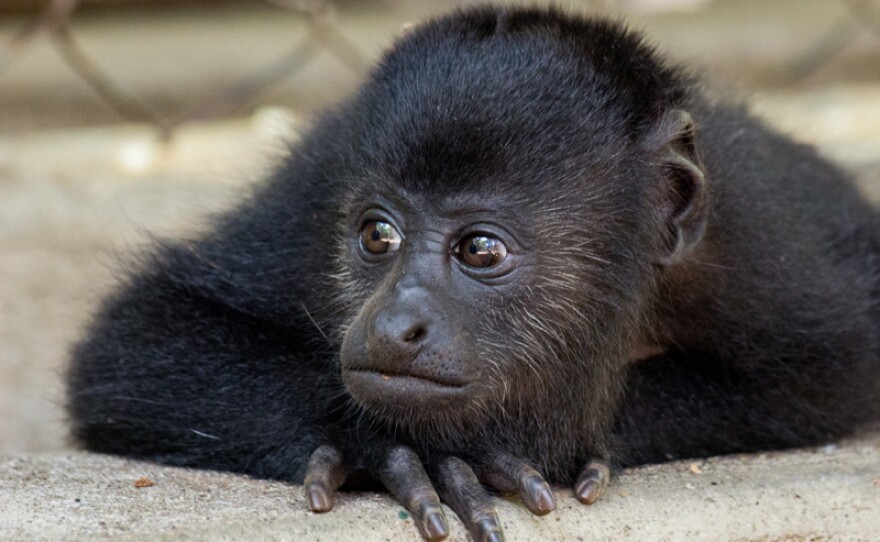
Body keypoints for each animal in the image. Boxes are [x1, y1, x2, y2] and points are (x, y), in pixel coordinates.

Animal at [66, 6, 880, 542]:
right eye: (378, 234)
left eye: (481, 251)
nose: (394, 323)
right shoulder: (316, 186)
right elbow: (136, 338)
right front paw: (404, 447)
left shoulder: (752, 249)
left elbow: (833, 369)